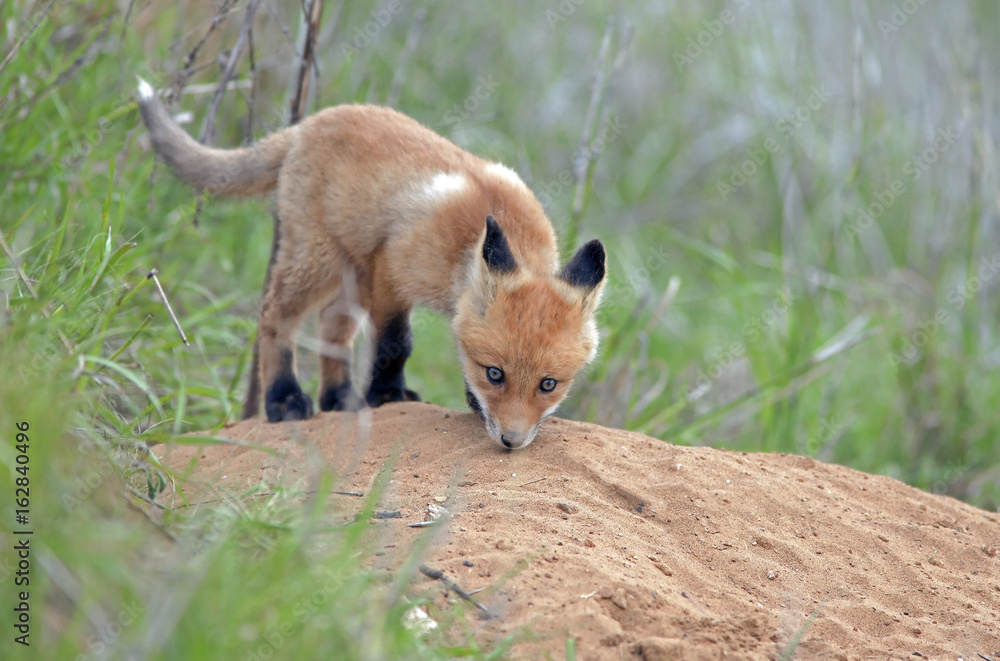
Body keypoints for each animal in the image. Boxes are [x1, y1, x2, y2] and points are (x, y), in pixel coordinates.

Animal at [135, 78, 606, 450]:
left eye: (548, 384)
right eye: (495, 373)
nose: (512, 441)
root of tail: (310, 122)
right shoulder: (392, 271)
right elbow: (396, 344)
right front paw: (386, 395)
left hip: (347, 276)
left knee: (331, 330)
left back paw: (338, 398)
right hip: (319, 261)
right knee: (274, 315)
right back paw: (284, 398)